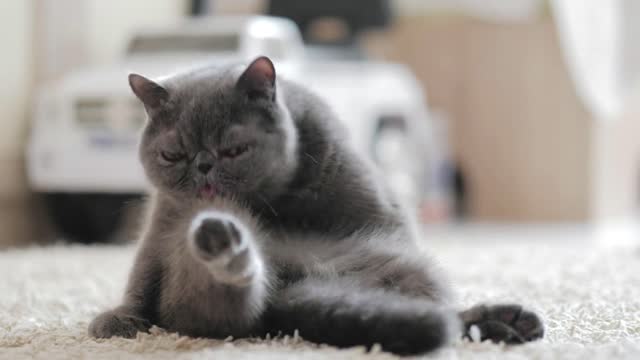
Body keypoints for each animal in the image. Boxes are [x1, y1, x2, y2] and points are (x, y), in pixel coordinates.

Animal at [89, 56, 540, 354]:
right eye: (173, 155)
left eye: (233, 150)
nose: (203, 165)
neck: (271, 203)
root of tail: (287, 292)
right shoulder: (164, 220)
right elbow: (141, 275)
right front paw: (120, 320)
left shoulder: (377, 203)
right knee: (217, 310)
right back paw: (226, 248)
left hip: (405, 266)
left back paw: (504, 324)